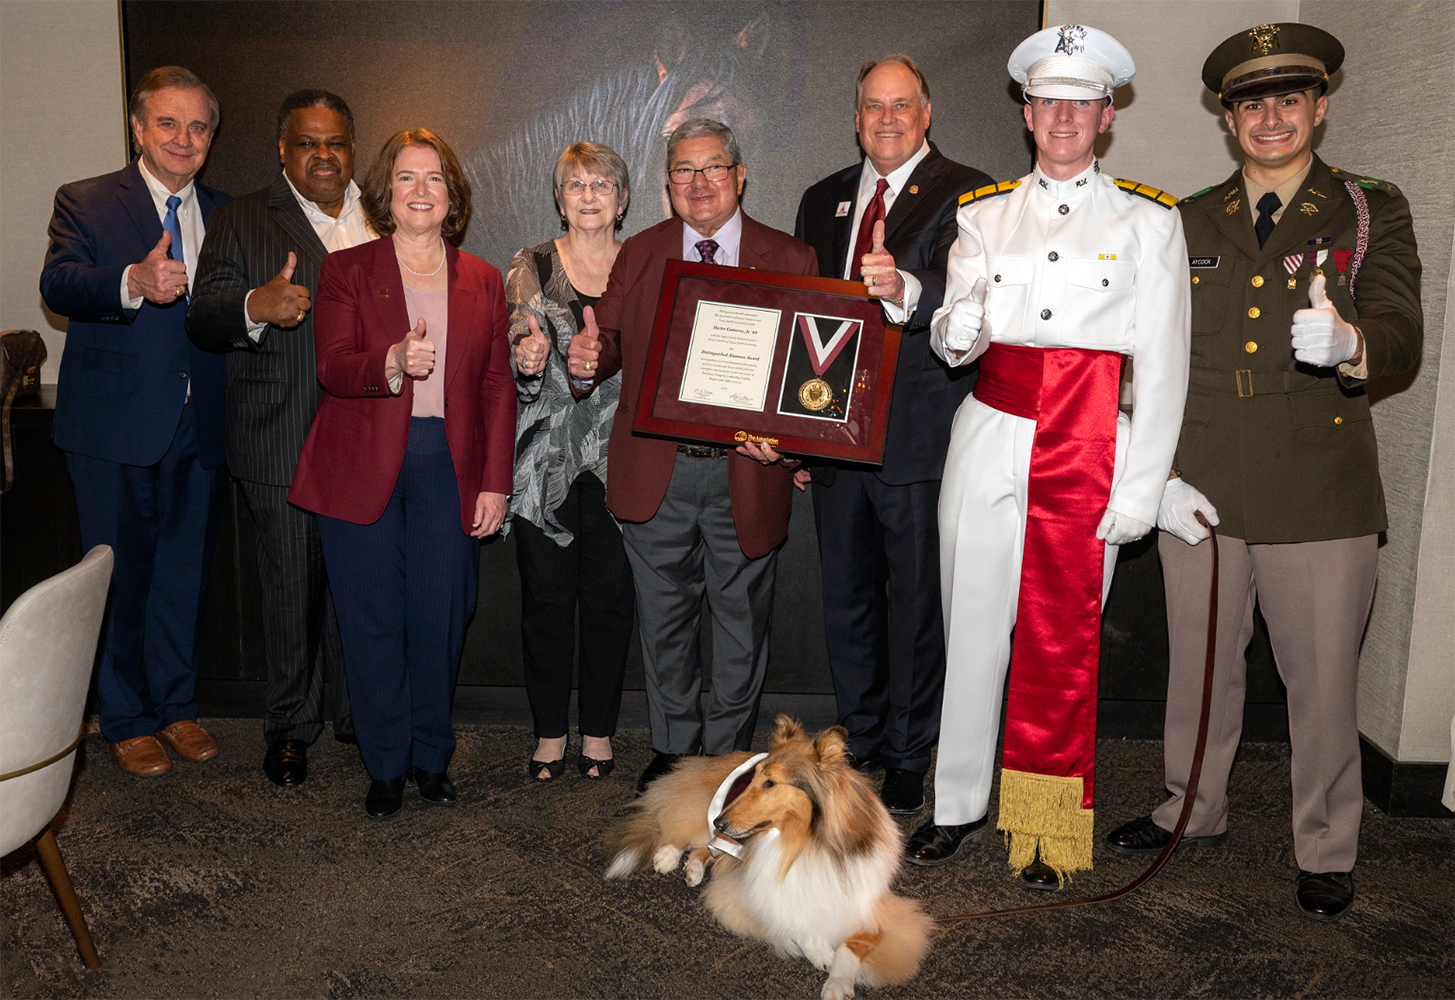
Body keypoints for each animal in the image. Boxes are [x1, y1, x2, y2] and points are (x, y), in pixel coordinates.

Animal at [605, 716, 931, 995]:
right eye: (752, 779)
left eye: (770, 782)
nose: (720, 822)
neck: (805, 844)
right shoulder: (750, 894)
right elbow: (792, 921)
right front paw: (820, 952)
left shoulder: (871, 907)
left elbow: (850, 947)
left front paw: (837, 984)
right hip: (703, 815)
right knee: (674, 822)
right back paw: (668, 855)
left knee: (704, 847)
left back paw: (693, 868)